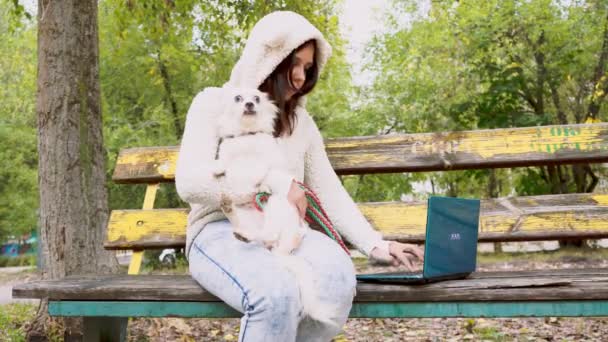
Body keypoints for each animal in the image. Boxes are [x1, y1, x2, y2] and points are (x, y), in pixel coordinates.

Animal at [213, 86, 338, 326]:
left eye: (257, 98)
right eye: (238, 98)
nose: (250, 104)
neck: (247, 136)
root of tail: (280, 249)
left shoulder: (264, 162)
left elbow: (255, 169)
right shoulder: (229, 153)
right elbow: (226, 163)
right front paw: (219, 169)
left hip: (277, 204)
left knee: (268, 232)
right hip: (248, 213)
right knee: (248, 227)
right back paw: (234, 218)